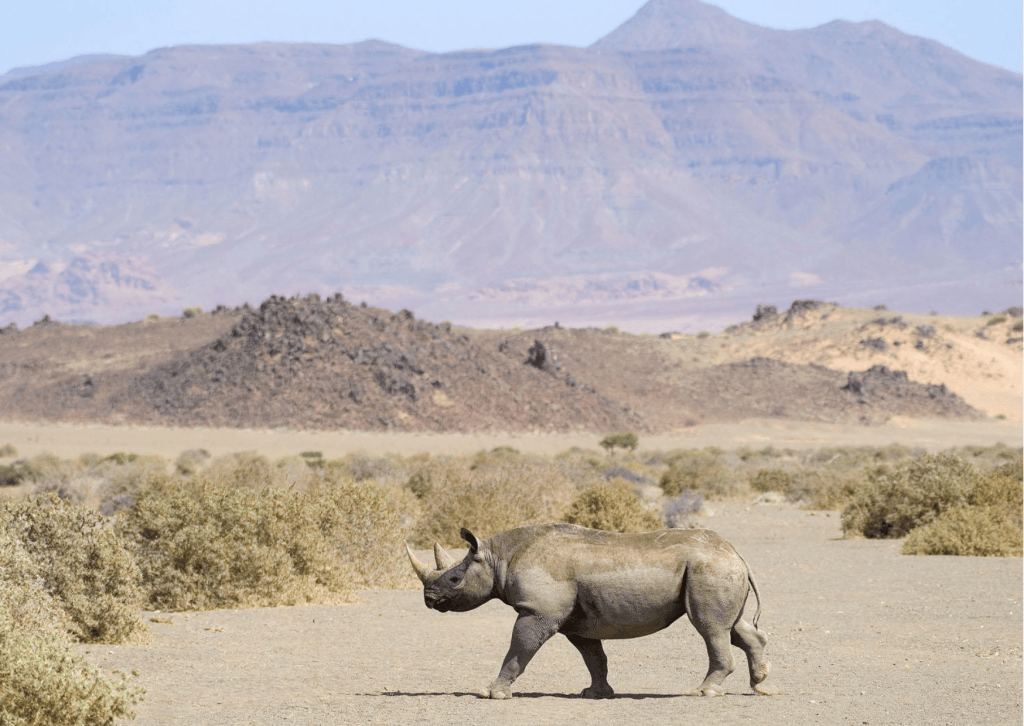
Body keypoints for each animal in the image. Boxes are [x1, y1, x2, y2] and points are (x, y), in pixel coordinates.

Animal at [407, 522, 769, 699]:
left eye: (454, 579)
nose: (429, 599)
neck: (499, 557)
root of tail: (736, 553)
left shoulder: (538, 612)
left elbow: (518, 650)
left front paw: (492, 693)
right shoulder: (576, 622)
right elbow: (594, 658)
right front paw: (596, 694)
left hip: (709, 568)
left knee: (710, 627)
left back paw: (703, 692)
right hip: (715, 568)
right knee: (732, 627)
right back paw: (761, 685)